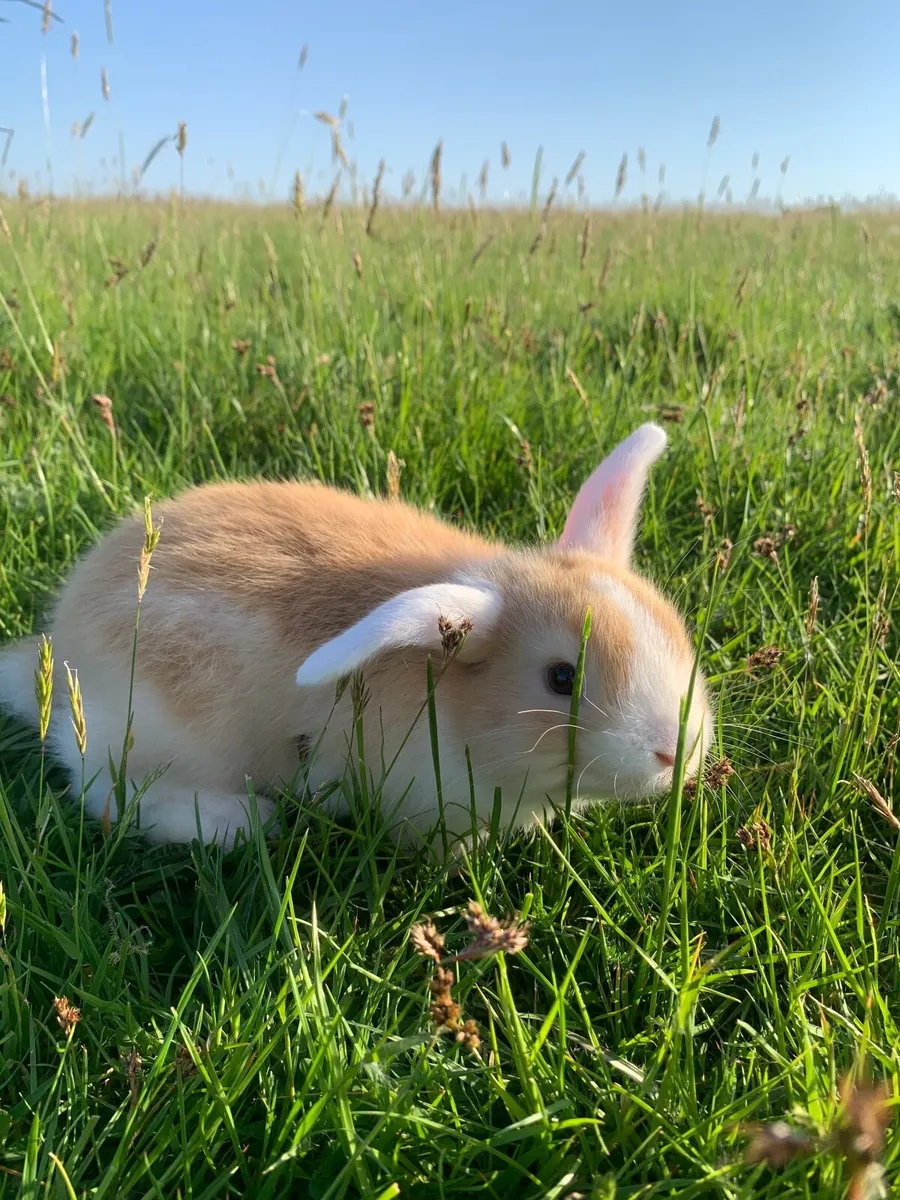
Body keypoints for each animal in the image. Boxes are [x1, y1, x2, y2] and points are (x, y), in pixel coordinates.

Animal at [0, 422, 712, 850]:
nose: (677, 752)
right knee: (104, 794)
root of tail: (59, 647)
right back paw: (240, 822)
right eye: (561, 678)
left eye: (675, 629)